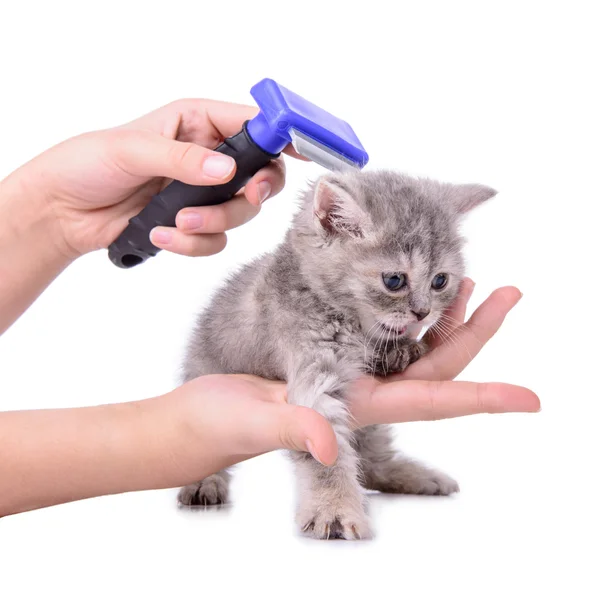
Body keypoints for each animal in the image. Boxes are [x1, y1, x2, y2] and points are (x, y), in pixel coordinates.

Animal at [178, 169, 496, 540]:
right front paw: (335, 509)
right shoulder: (314, 377)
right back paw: (204, 484)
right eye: (394, 280)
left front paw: (401, 350)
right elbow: (325, 456)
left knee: (372, 463)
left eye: (440, 281)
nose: (422, 313)